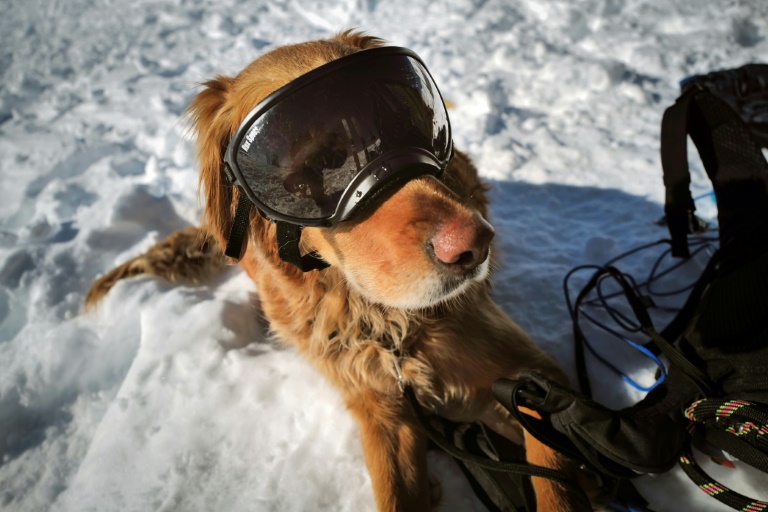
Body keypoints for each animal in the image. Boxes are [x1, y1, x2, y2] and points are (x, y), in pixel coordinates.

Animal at [85, 31, 588, 512]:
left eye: (404, 124)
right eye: (318, 163)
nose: (474, 244)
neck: (386, 325)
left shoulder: (532, 379)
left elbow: (556, 489)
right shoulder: (381, 410)